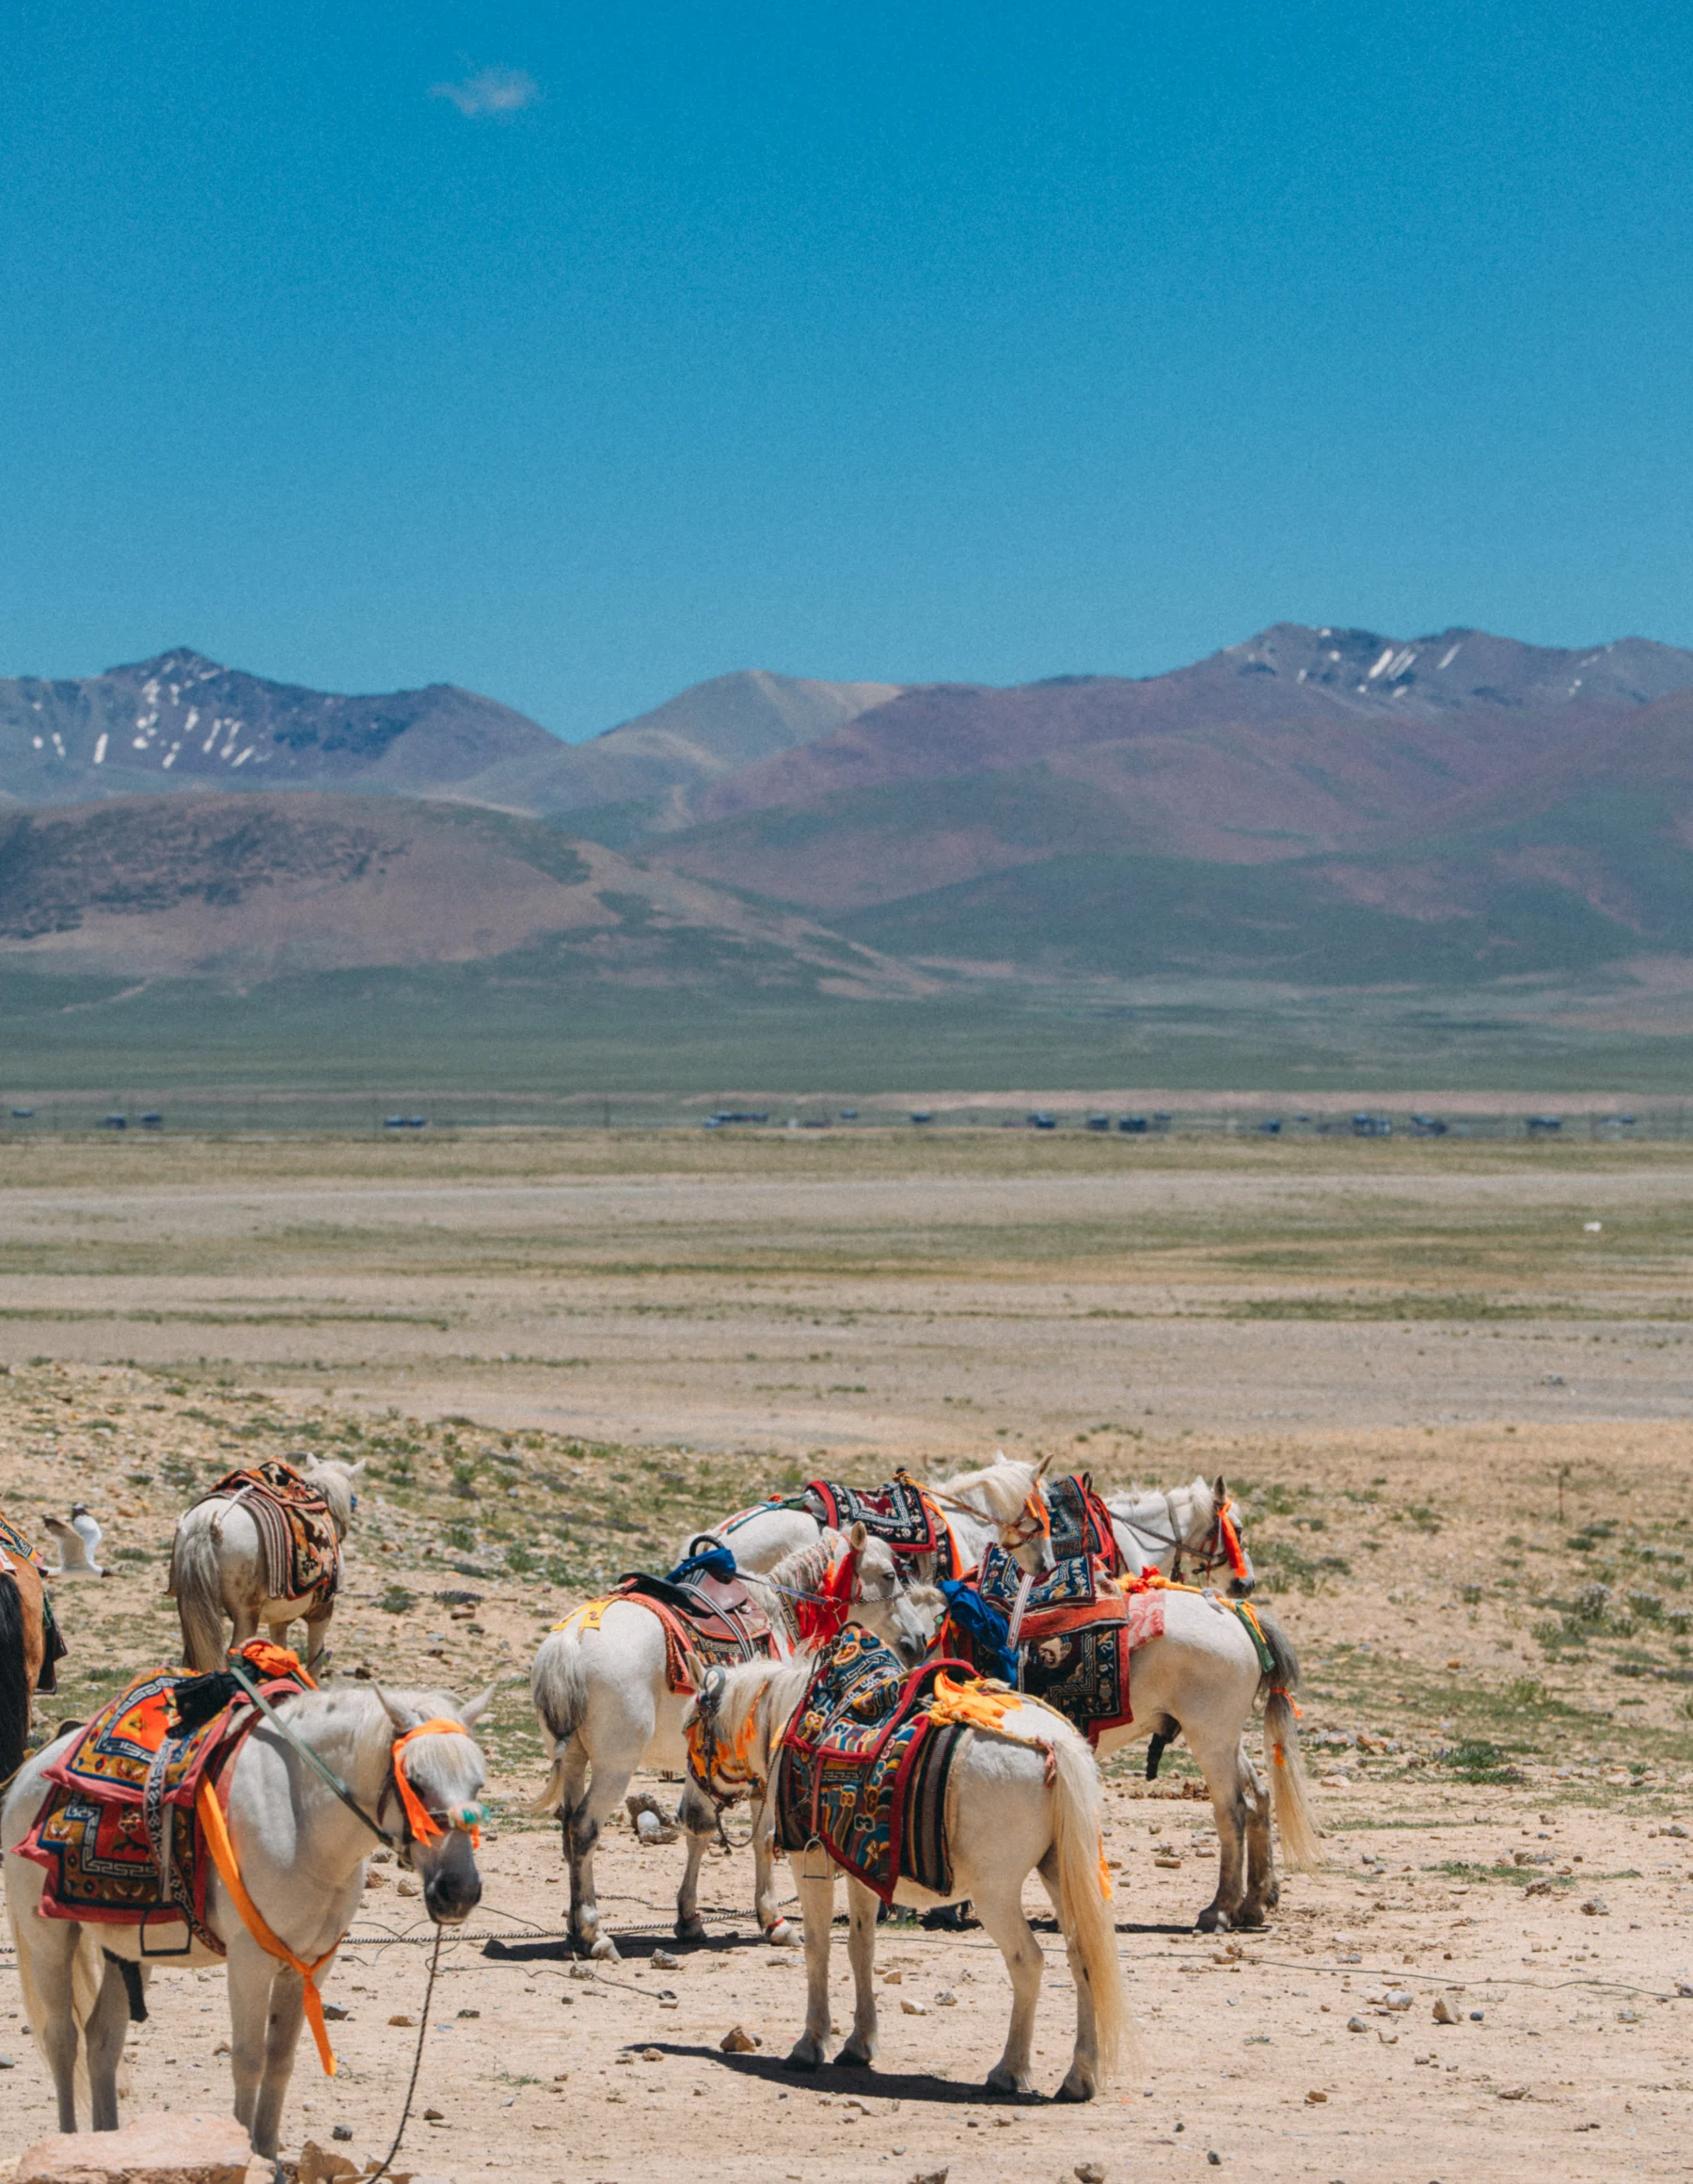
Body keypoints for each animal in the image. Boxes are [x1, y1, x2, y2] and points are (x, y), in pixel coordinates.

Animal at [2, 1679, 491, 2157]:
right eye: (415, 1782)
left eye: (479, 1785)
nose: (458, 1892)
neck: (305, 1822)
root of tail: (28, 1773)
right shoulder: (250, 1961)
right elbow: (249, 2060)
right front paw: (244, 2154)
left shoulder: (309, 1964)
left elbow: (280, 2060)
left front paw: (270, 2156)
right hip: (48, 1938)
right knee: (62, 2038)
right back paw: (66, 2141)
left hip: (124, 1950)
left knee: (102, 2038)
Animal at [170, 1455, 363, 1674]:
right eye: (353, 1501)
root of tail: (206, 1524)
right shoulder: (322, 1611)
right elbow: (315, 1663)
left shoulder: (279, 1619)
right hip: (246, 1613)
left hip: (194, 1610)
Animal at [530, 1528, 941, 1960]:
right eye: (890, 1575)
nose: (919, 1641)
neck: (780, 1613)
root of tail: (571, 1642)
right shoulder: (765, 1761)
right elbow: (765, 1836)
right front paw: (774, 1921)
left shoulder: (702, 1758)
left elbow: (698, 1827)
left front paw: (689, 1920)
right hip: (615, 1766)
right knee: (584, 1829)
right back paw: (595, 1933)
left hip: (574, 1759)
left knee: (568, 1831)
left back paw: (575, 1930)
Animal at [683, 1646, 1130, 2102]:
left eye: (690, 1732)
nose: (690, 1816)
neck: (790, 1719)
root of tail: (1055, 1742)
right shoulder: (860, 1868)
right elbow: (860, 1949)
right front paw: (859, 2044)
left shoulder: (810, 1862)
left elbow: (818, 1950)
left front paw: (809, 2045)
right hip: (1060, 1874)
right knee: (1083, 1959)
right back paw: (1079, 2077)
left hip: (996, 1895)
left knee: (1028, 1961)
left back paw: (1008, 2070)